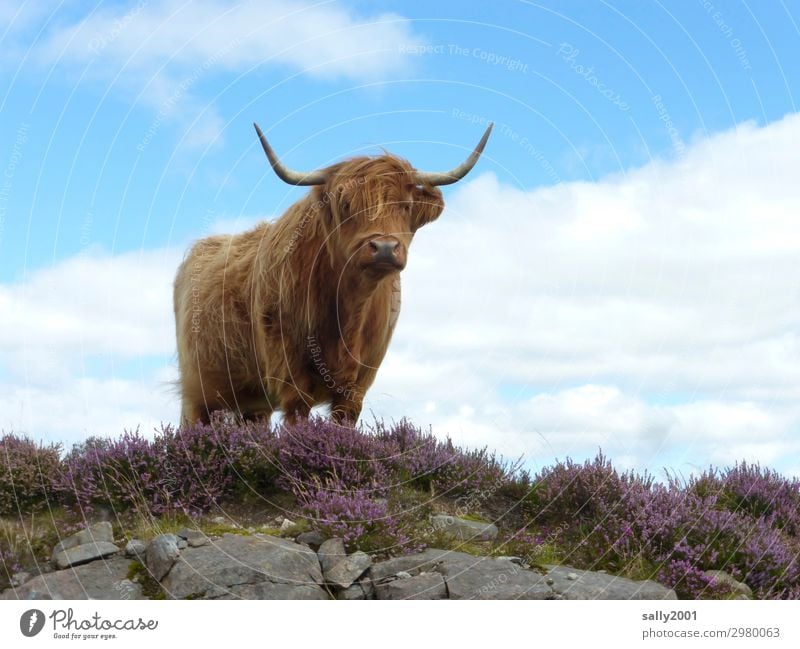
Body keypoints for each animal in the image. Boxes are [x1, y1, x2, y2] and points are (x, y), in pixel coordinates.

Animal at [172, 121, 490, 426]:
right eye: (346, 205)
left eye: (406, 206)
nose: (384, 248)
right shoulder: (292, 378)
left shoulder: (357, 387)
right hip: (198, 392)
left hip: (253, 404)